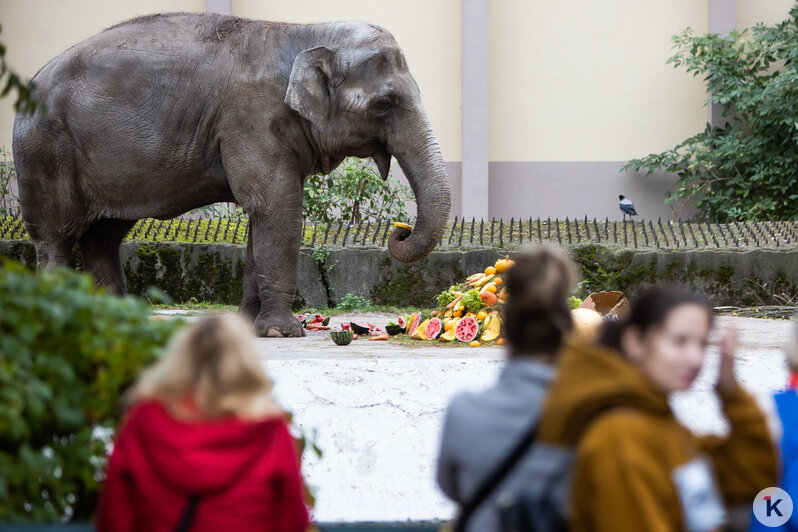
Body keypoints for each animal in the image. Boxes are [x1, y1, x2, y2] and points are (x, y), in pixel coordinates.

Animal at [14, 11, 450, 336]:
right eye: (384, 104)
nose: (399, 231)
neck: (306, 32)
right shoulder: (251, 119)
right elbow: (275, 205)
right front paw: (282, 332)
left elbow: (263, 217)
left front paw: (249, 327)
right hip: (45, 153)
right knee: (56, 238)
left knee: (103, 236)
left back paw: (117, 323)